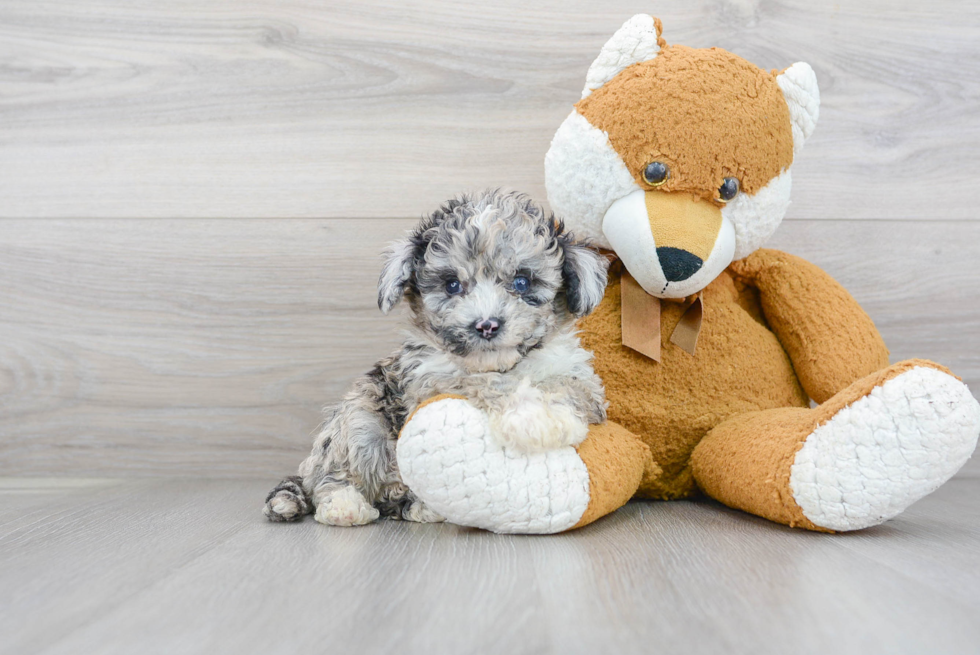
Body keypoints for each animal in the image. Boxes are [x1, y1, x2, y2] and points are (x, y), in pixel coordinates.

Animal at [264, 190, 608, 528]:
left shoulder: (581, 378)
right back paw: (347, 505)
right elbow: (479, 381)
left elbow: (569, 387)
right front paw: (531, 415)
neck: (503, 364)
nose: (486, 325)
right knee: (335, 475)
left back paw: (417, 506)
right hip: (359, 421)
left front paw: (549, 414)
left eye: (522, 282)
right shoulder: (429, 380)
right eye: (452, 285)